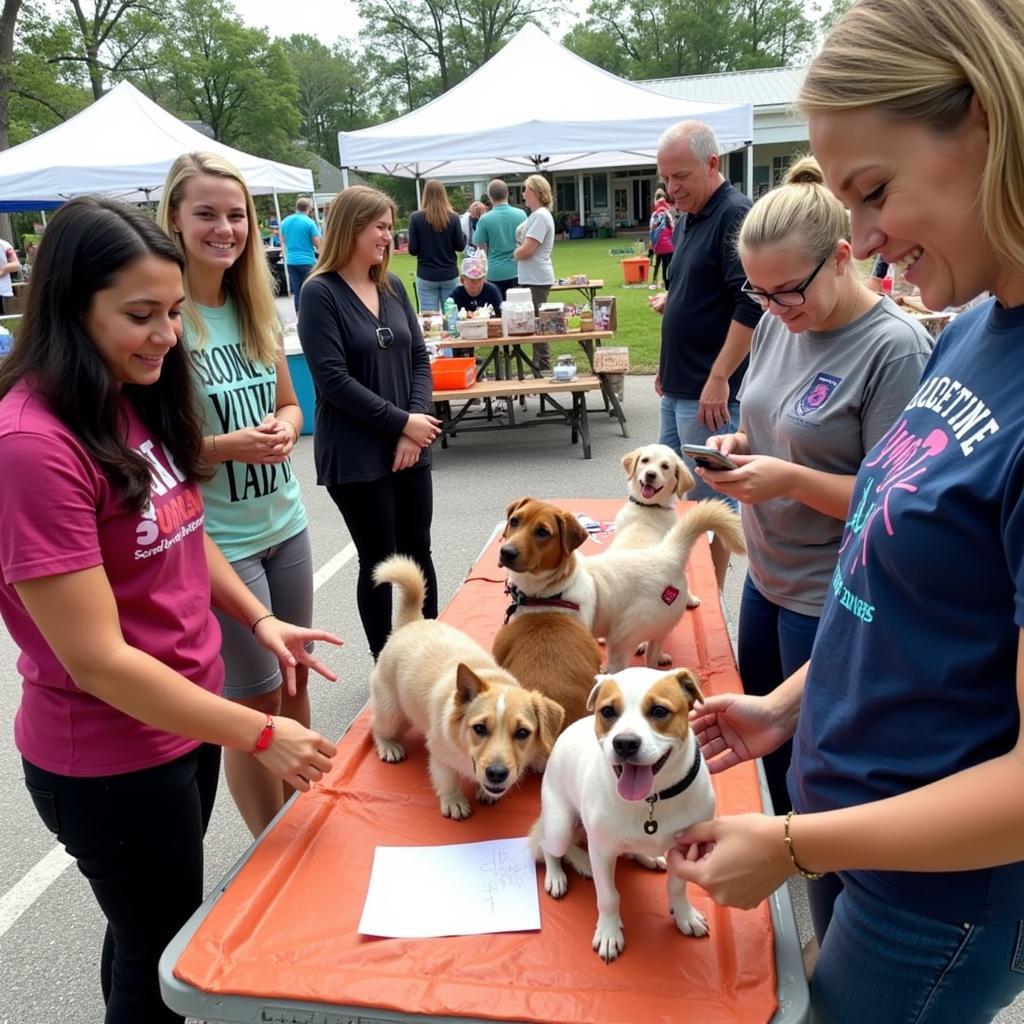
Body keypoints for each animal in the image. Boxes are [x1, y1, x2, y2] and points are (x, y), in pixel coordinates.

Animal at [370, 557, 565, 819]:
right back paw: (388, 746)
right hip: (390, 712)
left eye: (522, 732)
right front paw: (454, 801)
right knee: (377, 727)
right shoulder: (440, 756)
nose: (496, 773)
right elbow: (447, 780)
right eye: (479, 728)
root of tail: (411, 622)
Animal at [532, 667, 716, 962]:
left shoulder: (686, 847)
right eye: (608, 711)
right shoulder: (602, 852)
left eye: (659, 711)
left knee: (630, 848)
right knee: (550, 846)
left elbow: (677, 886)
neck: (651, 798)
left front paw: (684, 915)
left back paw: (647, 857)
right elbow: (608, 896)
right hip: (559, 827)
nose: (625, 743)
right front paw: (609, 932)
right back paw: (560, 873)